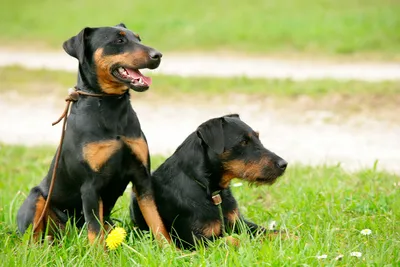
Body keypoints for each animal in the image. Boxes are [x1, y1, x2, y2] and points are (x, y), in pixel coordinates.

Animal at [16, 24, 170, 246]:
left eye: (138, 39)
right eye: (119, 40)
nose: (157, 55)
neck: (109, 105)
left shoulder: (142, 178)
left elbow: (157, 222)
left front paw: (170, 249)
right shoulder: (90, 186)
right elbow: (95, 233)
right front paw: (99, 254)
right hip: (36, 199)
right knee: (33, 236)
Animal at [131, 114, 288, 250]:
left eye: (258, 137)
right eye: (244, 142)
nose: (284, 164)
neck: (211, 191)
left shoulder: (240, 223)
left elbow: (270, 231)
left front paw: (291, 236)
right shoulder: (196, 241)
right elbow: (234, 239)